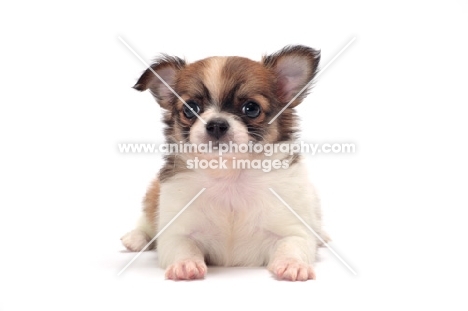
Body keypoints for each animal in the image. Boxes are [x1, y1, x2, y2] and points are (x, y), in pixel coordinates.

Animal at [120, 45, 330, 282]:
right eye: (190, 109)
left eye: (251, 108)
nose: (216, 124)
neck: (229, 174)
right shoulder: (176, 232)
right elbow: (183, 246)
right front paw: (185, 264)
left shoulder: (293, 230)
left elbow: (293, 244)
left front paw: (293, 264)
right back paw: (136, 237)